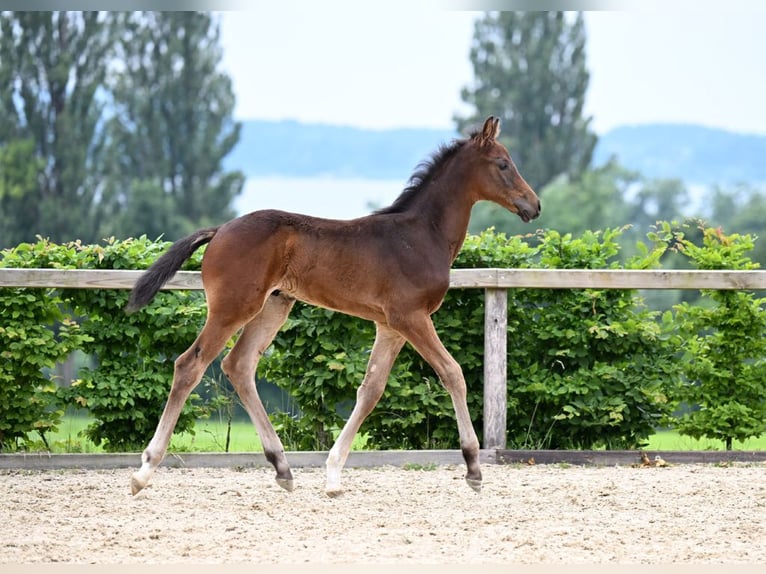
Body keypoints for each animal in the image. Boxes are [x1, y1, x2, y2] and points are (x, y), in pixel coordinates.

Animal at [126, 116, 540, 497]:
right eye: (503, 163)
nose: (534, 205)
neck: (423, 235)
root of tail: (219, 230)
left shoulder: (391, 325)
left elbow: (371, 389)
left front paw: (334, 474)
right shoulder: (411, 317)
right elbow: (452, 373)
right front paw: (473, 467)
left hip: (274, 306)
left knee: (238, 365)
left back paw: (282, 468)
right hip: (233, 308)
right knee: (189, 365)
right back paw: (144, 471)